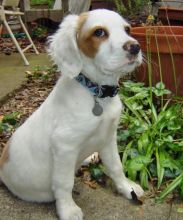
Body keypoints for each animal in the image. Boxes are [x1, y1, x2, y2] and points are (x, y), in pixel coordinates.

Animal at [0, 9, 144, 220]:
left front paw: (127, 188)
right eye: (99, 32)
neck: (97, 94)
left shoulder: (109, 137)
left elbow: (116, 166)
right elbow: (64, 182)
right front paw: (67, 209)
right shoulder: (65, 146)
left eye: (127, 29)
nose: (135, 47)